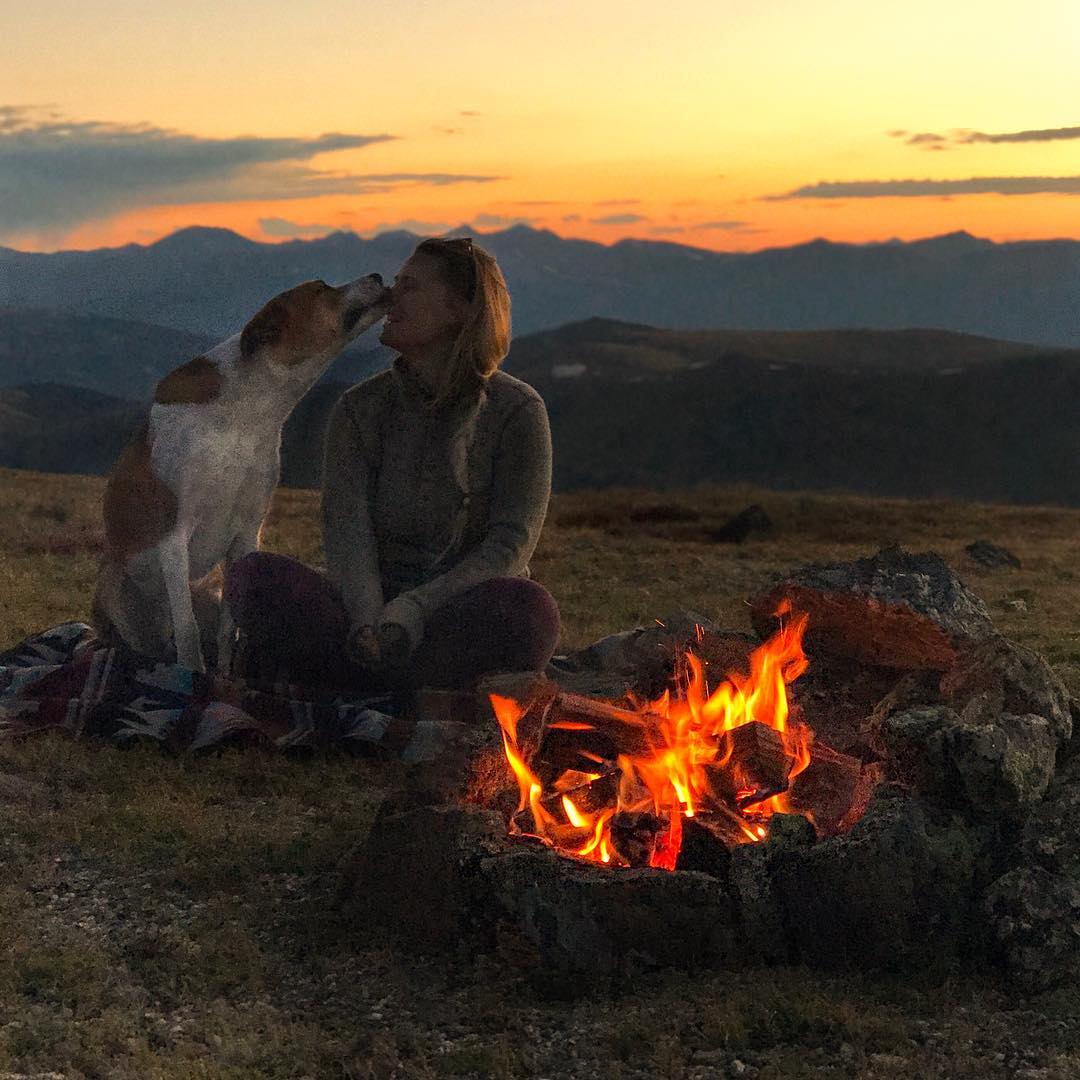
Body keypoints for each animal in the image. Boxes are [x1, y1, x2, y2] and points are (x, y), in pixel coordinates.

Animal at [91, 274, 388, 669]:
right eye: (321, 288)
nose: (377, 277)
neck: (246, 414)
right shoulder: (173, 538)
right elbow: (187, 630)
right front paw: (194, 676)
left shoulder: (247, 532)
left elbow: (228, 631)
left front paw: (224, 674)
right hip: (116, 586)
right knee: (142, 641)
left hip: (209, 590)